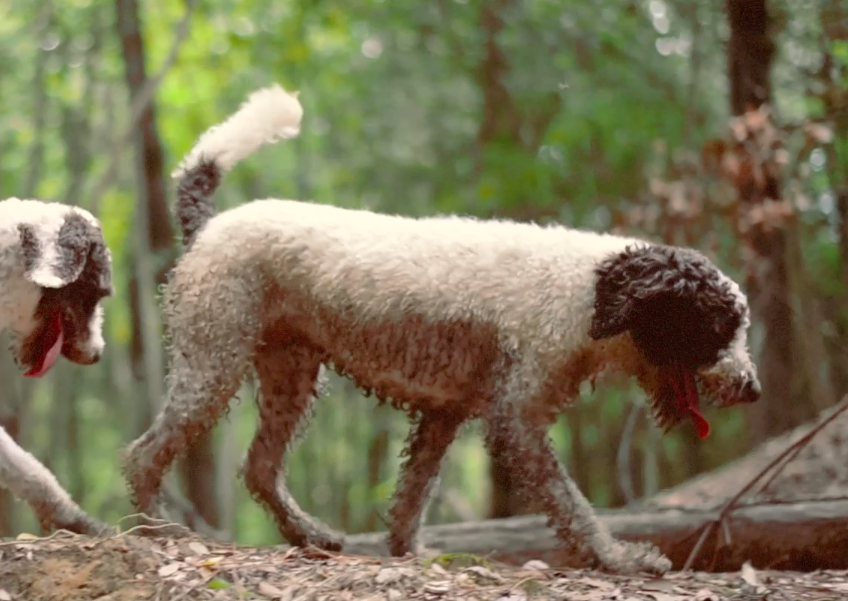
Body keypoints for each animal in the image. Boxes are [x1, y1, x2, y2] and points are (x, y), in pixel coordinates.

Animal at [122, 85, 760, 572]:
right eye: (717, 326)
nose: (752, 388)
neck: (589, 291)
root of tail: (209, 226)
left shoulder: (444, 413)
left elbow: (413, 495)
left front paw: (409, 551)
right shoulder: (517, 422)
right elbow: (571, 502)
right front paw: (618, 558)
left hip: (289, 375)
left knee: (258, 467)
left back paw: (311, 535)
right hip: (214, 361)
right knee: (143, 455)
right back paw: (157, 530)